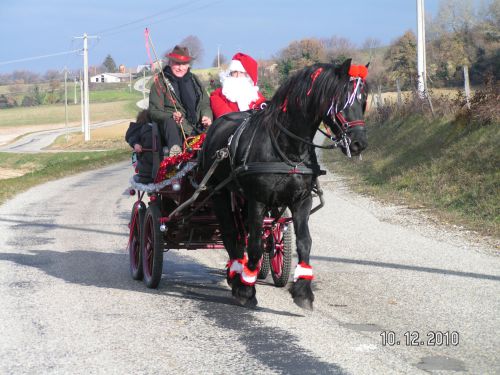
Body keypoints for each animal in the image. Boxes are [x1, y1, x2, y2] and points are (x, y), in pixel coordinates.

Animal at [198, 58, 368, 310]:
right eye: (341, 100)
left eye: (363, 99)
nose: (359, 143)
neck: (287, 147)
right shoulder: (257, 201)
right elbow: (255, 244)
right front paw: (246, 291)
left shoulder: (301, 201)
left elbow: (305, 242)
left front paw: (303, 291)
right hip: (220, 194)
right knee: (231, 234)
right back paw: (237, 277)